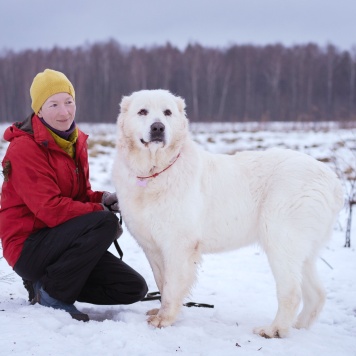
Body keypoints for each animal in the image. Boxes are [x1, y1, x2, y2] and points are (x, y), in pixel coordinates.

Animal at [112, 89, 344, 336]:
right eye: (142, 111)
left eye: (167, 112)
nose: (158, 128)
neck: (155, 172)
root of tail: (332, 179)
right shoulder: (153, 247)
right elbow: (161, 281)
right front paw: (160, 312)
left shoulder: (179, 245)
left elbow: (172, 285)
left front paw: (164, 319)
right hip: (303, 248)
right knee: (316, 292)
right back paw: (298, 326)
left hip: (281, 239)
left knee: (291, 291)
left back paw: (273, 330)